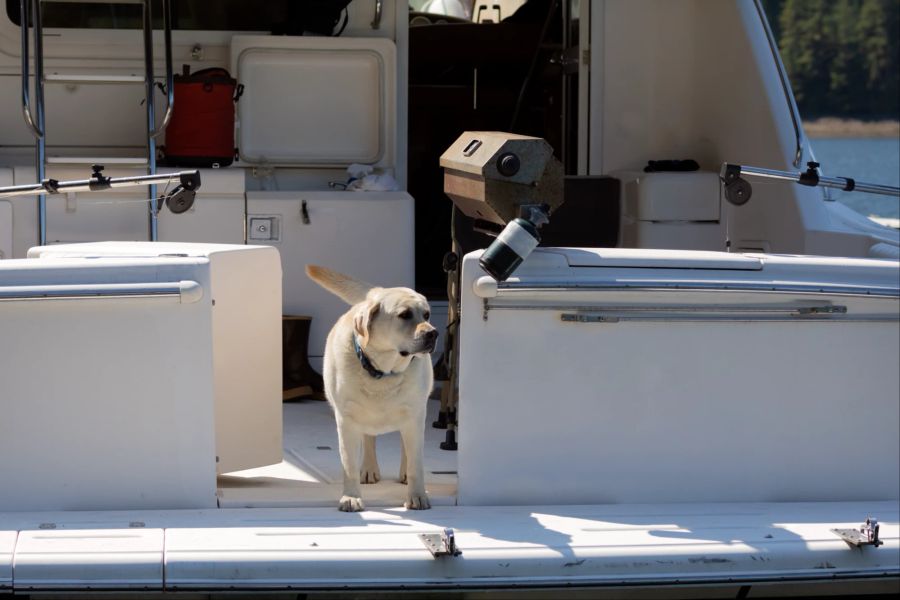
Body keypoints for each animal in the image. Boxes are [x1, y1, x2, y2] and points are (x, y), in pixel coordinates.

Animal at [306, 266, 440, 510]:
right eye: (404, 315)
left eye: (426, 315)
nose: (433, 333)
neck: (382, 371)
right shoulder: (347, 420)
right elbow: (349, 465)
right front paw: (351, 497)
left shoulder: (415, 417)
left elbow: (416, 464)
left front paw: (417, 495)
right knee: (368, 438)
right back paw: (368, 469)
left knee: (405, 446)